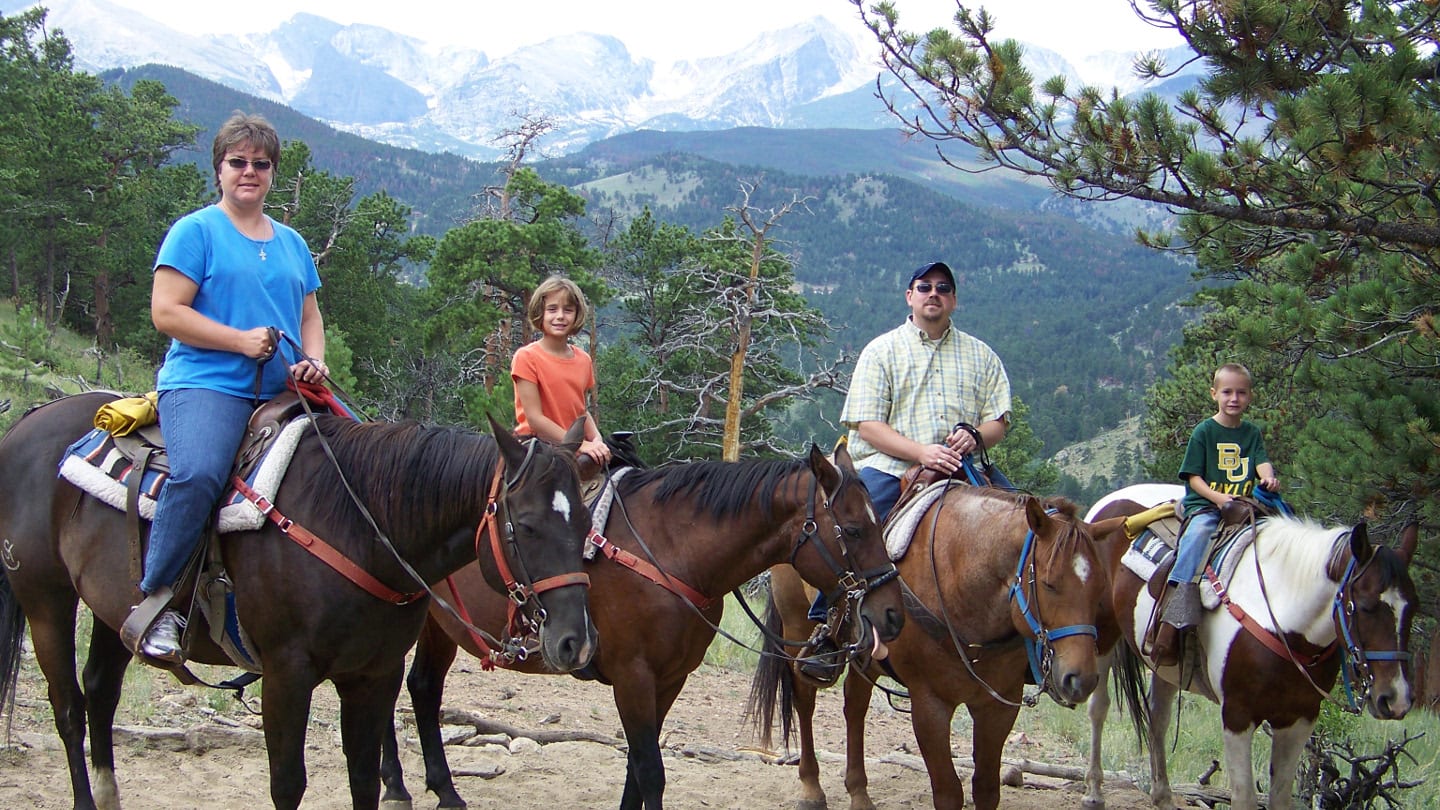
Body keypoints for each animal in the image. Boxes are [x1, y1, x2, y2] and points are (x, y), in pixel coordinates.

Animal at [0, 392, 599, 807]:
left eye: (586, 523)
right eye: (526, 526)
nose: (576, 641)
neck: (360, 527)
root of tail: (31, 418)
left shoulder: (373, 674)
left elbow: (362, 778)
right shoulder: (286, 674)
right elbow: (287, 783)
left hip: (112, 610)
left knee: (100, 694)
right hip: (46, 599)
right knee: (69, 708)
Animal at [377, 441, 904, 807]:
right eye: (854, 530)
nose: (893, 613)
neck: (670, 550)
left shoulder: (669, 679)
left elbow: (637, 767)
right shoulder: (632, 676)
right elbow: (650, 770)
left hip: (436, 626)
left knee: (421, 688)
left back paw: (441, 791)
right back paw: (398, 787)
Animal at [748, 484, 1117, 807]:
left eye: (1102, 587)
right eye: (1049, 584)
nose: (1080, 679)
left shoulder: (999, 706)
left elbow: (986, 790)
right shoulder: (929, 704)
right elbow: (949, 792)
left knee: (855, 706)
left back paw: (859, 793)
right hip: (796, 625)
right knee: (804, 700)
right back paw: (811, 788)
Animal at [1082, 481, 1416, 807]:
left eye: (1414, 609)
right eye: (1364, 606)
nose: (1396, 699)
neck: (1280, 618)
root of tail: (1109, 502)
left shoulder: (1299, 719)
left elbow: (1280, 795)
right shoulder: (1237, 715)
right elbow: (1244, 795)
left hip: (1164, 662)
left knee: (1158, 718)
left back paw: (1163, 797)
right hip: (1103, 633)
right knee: (1098, 708)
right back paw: (1094, 791)